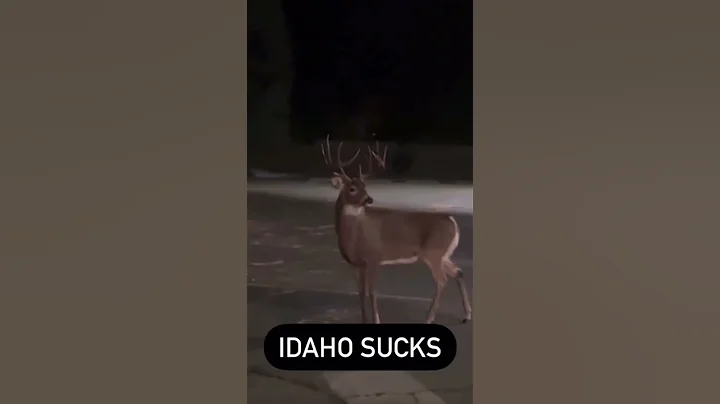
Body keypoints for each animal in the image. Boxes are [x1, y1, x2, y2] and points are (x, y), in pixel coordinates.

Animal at [320, 135, 472, 324]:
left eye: (365, 187)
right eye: (352, 188)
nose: (368, 199)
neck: (354, 237)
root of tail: (452, 221)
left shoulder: (374, 257)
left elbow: (372, 292)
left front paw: (376, 320)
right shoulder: (356, 264)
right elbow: (361, 292)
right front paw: (364, 320)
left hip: (434, 253)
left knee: (442, 281)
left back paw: (429, 318)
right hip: (442, 255)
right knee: (459, 272)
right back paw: (466, 315)